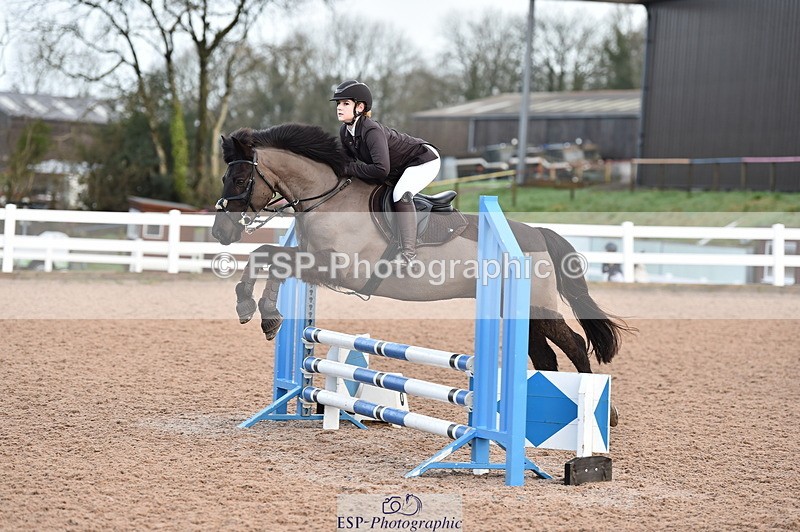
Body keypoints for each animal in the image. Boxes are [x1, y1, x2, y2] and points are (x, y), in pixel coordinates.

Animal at [212, 123, 630, 425]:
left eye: (239, 180)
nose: (221, 233)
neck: (328, 197)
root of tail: (537, 233)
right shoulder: (312, 259)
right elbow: (265, 255)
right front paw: (250, 307)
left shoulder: (338, 269)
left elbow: (274, 262)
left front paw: (267, 316)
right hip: (518, 311)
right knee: (544, 356)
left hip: (538, 309)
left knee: (573, 344)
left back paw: (603, 413)